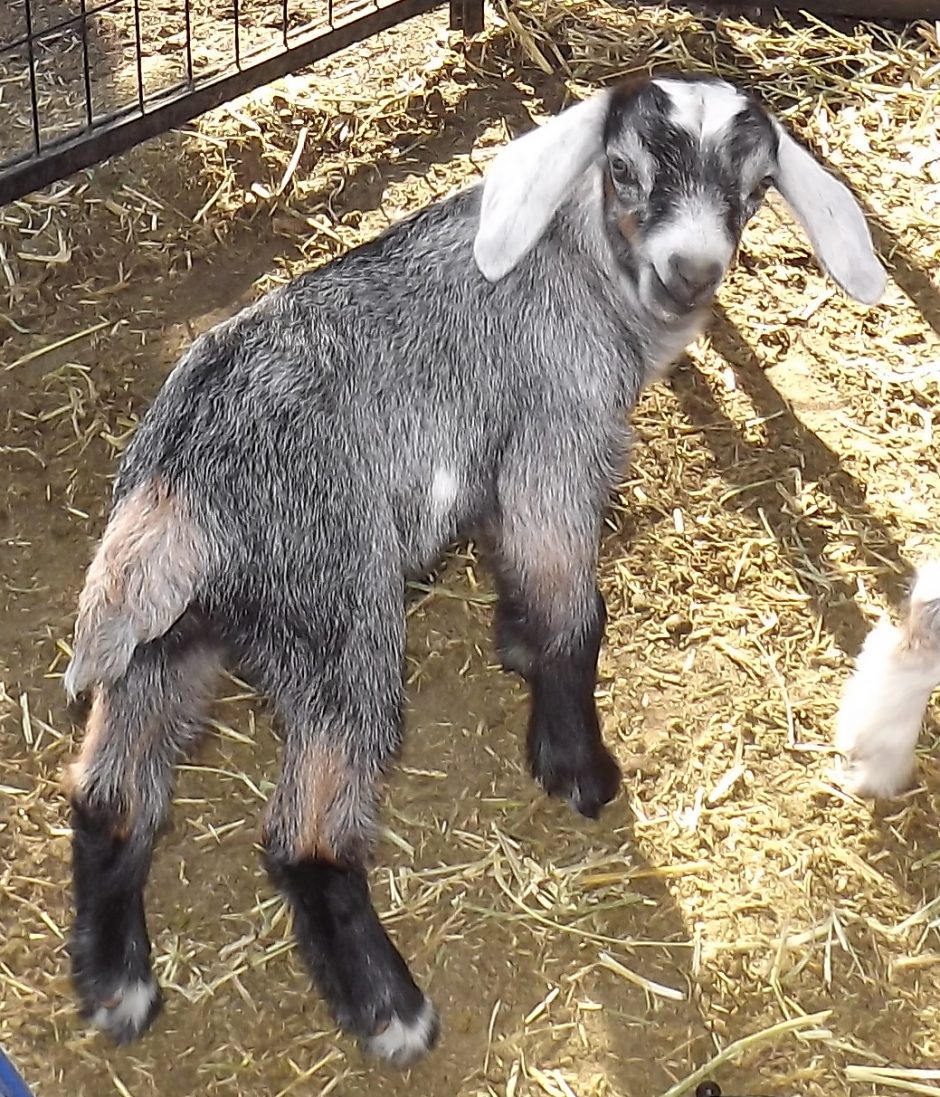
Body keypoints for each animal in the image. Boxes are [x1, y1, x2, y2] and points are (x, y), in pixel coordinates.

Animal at [63, 74, 884, 1064]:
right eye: (623, 169)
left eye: (756, 189)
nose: (691, 269)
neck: (581, 267)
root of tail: (177, 484)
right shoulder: (553, 447)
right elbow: (576, 611)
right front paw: (575, 764)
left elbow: (524, 581)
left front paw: (515, 647)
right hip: (338, 614)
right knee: (305, 836)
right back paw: (389, 1008)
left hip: (166, 641)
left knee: (110, 796)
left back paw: (116, 983)